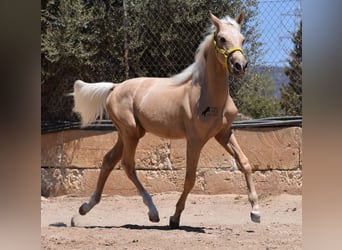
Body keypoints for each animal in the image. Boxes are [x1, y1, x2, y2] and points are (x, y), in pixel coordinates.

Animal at [71, 10, 260, 228]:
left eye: (242, 39)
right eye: (221, 38)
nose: (240, 66)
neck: (207, 96)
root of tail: (115, 87)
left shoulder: (224, 133)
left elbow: (245, 163)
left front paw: (255, 212)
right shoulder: (195, 140)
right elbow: (190, 178)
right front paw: (175, 217)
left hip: (128, 133)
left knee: (109, 160)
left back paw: (83, 209)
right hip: (130, 133)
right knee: (127, 165)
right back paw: (153, 212)